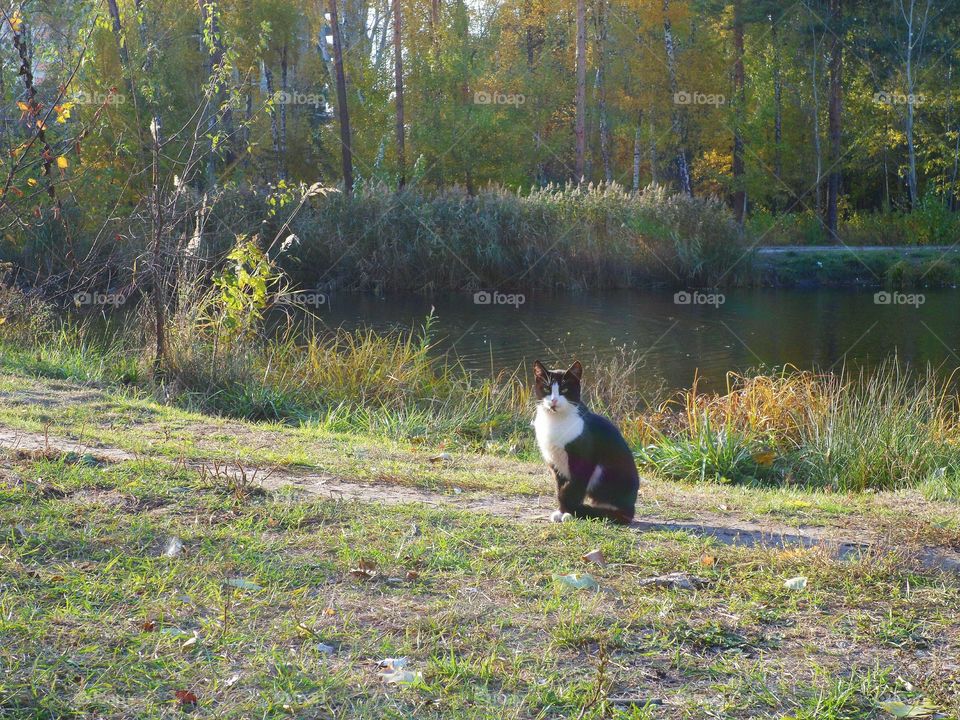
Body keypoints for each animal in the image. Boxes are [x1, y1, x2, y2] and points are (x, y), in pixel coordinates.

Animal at [532, 360, 636, 524]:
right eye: (547, 388)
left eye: (564, 389)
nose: (553, 400)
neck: (555, 421)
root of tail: (630, 510)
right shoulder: (555, 463)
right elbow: (560, 488)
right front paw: (561, 511)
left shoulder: (584, 461)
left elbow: (573, 489)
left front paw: (569, 513)